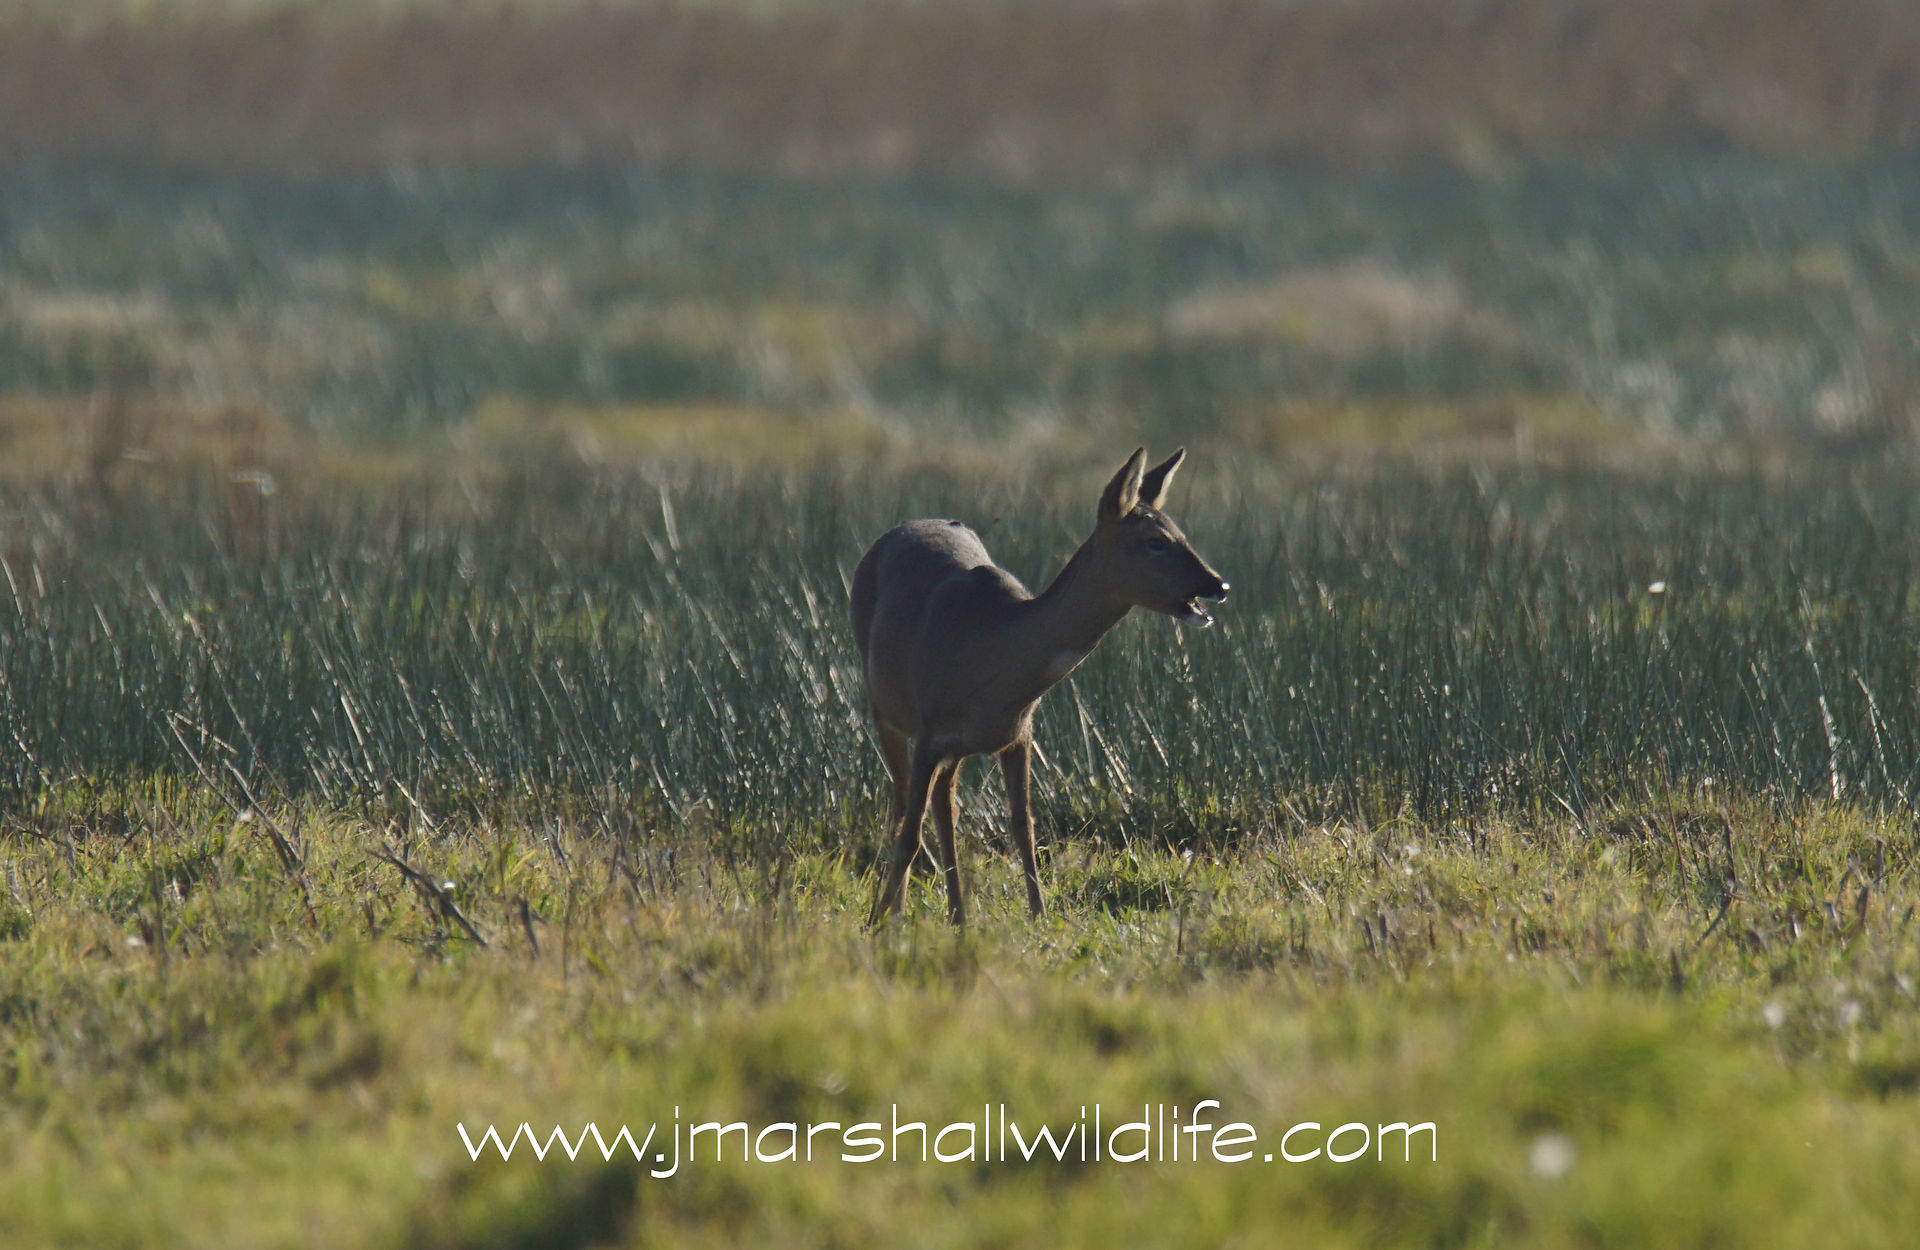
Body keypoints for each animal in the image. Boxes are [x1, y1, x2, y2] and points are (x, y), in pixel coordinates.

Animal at [850, 447, 1229, 927]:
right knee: (902, 808)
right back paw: (896, 910)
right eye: (1156, 541)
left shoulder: (1019, 733)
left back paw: (957, 915)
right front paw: (879, 921)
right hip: (883, 705)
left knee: (944, 804)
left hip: (951, 748)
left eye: (1179, 531)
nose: (1217, 583)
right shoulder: (929, 730)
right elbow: (910, 833)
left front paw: (1040, 917)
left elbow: (1024, 826)